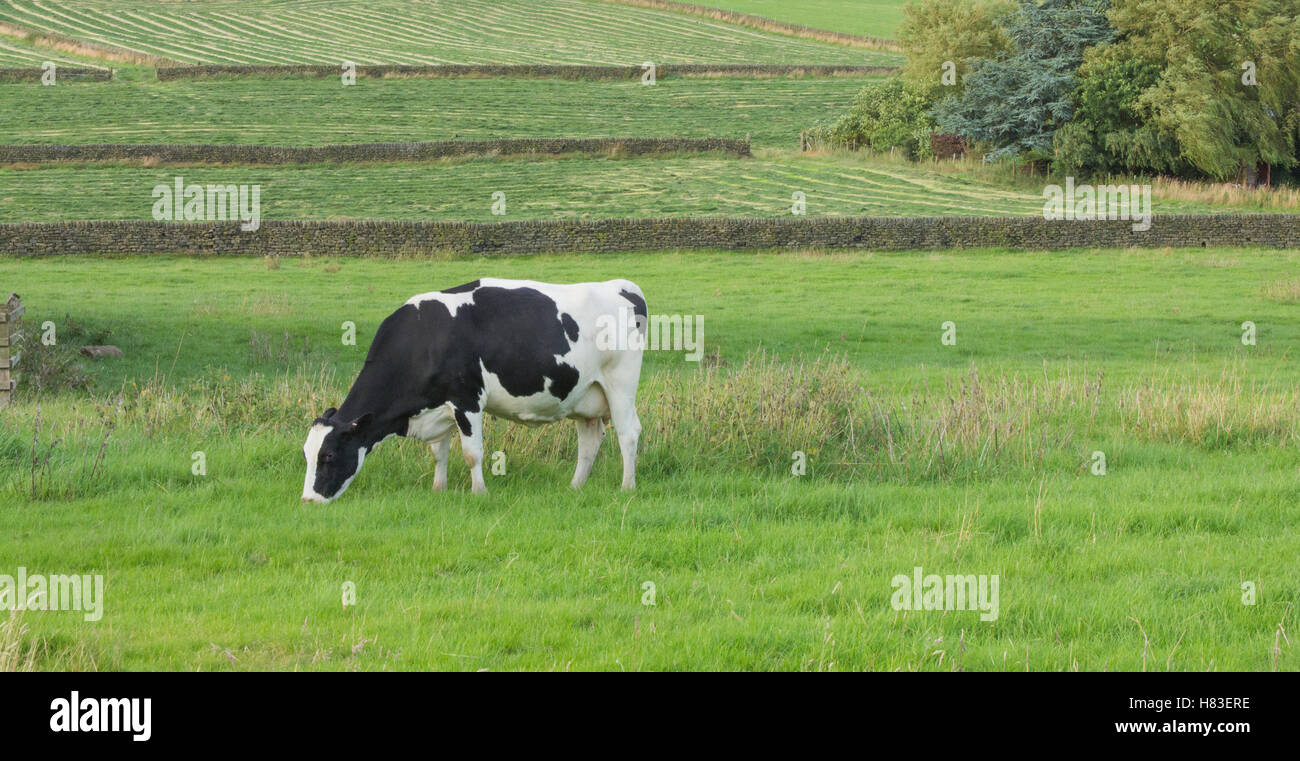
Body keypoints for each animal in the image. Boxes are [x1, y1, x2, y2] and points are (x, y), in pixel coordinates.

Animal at [304, 275, 650, 502]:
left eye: (329, 455)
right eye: (307, 453)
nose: (308, 500)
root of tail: (620, 285)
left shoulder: (466, 400)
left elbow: (472, 453)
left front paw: (478, 492)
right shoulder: (438, 406)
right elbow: (438, 452)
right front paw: (438, 489)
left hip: (620, 383)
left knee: (628, 433)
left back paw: (627, 487)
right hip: (584, 394)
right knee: (590, 440)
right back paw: (575, 487)